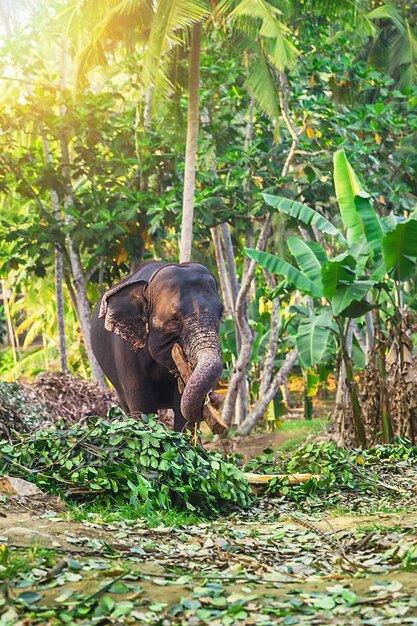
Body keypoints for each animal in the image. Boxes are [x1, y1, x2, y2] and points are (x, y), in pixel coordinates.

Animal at [90, 260, 224, 432]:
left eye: (221, 314)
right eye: (174, 319)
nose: (213, 397)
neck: (147, 287)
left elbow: (182, 409)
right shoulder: (126, 350)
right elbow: (141, 406)